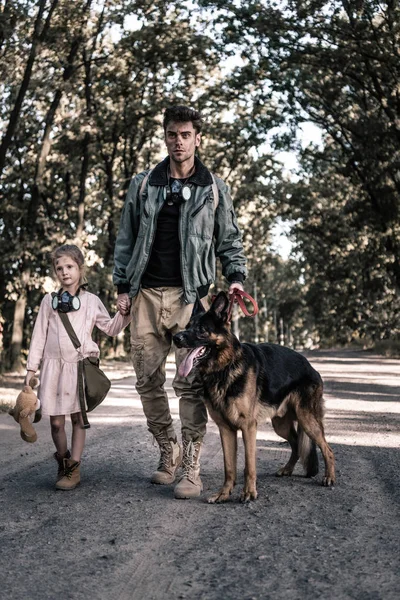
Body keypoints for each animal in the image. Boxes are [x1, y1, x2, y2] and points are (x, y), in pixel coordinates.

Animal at [173, 290, 336, 502]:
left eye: (201, 329)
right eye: (187, 327)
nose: (175, 337)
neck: (224, 368)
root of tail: (310, 367)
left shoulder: (248, 427)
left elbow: (249, 465)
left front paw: (249, 493)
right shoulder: (226, 429)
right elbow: (229, 467)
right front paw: (223, 494)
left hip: (307, 420)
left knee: (327, 449)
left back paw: (329, 477)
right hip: (281, 425)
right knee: (295, 445)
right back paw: (287, 469)